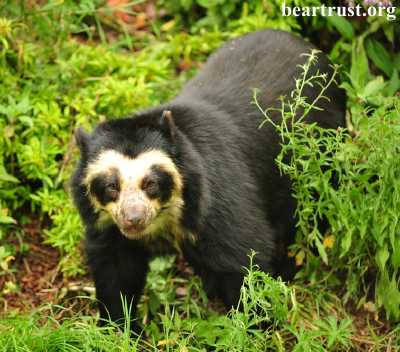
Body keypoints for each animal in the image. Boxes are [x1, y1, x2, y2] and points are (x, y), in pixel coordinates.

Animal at [70, 28, 346, 328]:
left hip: (320, 152)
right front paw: (120, 325)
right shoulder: (108, 226)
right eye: (111, 186)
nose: (133, 219)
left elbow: (245, 256)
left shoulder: (217, 200)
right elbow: (115, 270)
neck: (169, 217)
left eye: (151, 183)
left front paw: (253, 323)